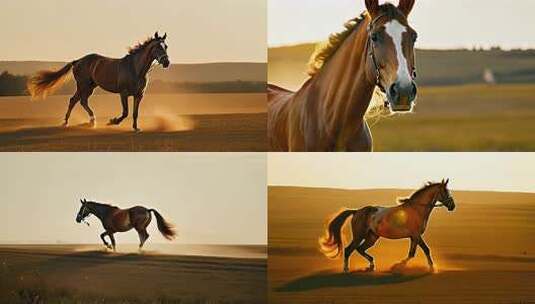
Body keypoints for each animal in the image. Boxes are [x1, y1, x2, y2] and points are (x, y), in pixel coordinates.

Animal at [27, 31, 170, 132]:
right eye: (158, 47)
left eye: (166, 46)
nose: (167, 62)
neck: (136, 68)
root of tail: (77, 61)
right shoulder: (123, 94)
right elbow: (125, 112)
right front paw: (112, 121)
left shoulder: (139, 95)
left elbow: (135, 113)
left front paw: (136, 128)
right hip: (83, 86)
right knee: (76, 101)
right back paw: (80, 122)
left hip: (90, 87)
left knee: (78, 101)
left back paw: (80, 122)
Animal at [322, 179, 456, 272]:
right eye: (445, 192)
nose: (452, 206)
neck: (417, 209)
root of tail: (356, 211)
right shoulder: (416, 235)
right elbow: (423, 251)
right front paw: (432, 268)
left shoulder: (414, 237)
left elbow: (415, 253)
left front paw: (399, 265)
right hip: (359, 236)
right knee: (349, 249)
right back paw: (346, 269)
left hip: (372, 237)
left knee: (360, 249)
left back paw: (372, 266)